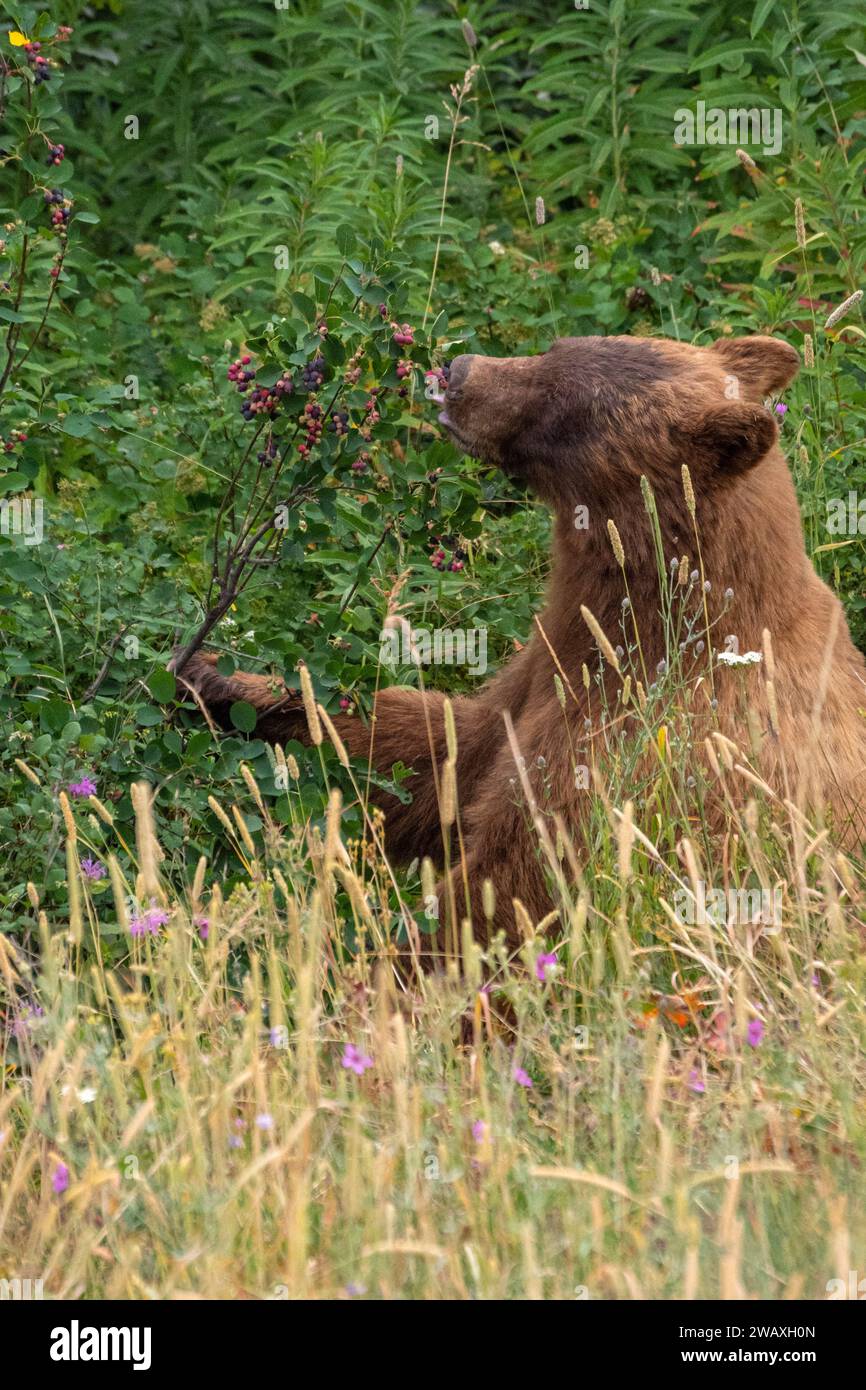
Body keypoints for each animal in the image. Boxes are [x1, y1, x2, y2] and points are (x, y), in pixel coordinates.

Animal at [177, 336, 866, 961]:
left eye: (565, 402)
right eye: (557, 347)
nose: (459, 371)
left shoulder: (640, 754)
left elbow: (511, 887)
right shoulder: (544, 671)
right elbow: (433, 752)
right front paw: (220, 682)